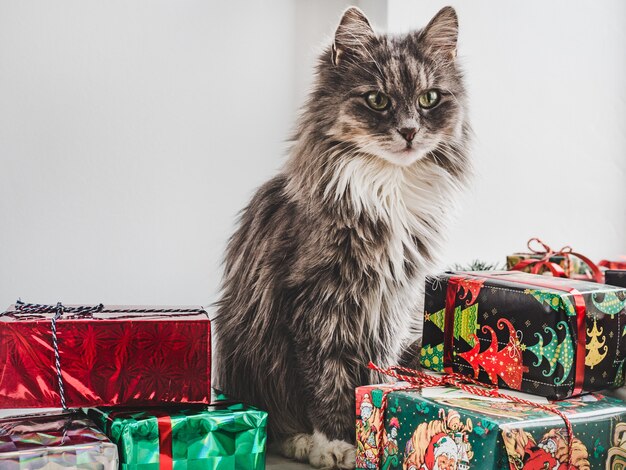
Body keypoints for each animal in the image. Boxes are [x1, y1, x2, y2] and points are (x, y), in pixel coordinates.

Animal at [214, 5, 468, 468]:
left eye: (429, 99)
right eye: (377, 100)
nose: (409, 131)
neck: (387, 187)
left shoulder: (390, 305)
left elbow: (373, 371)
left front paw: (374, 424)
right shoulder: (316, 303)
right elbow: (326, 381)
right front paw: (340, 443)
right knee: (278, 421)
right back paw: (303, 443)